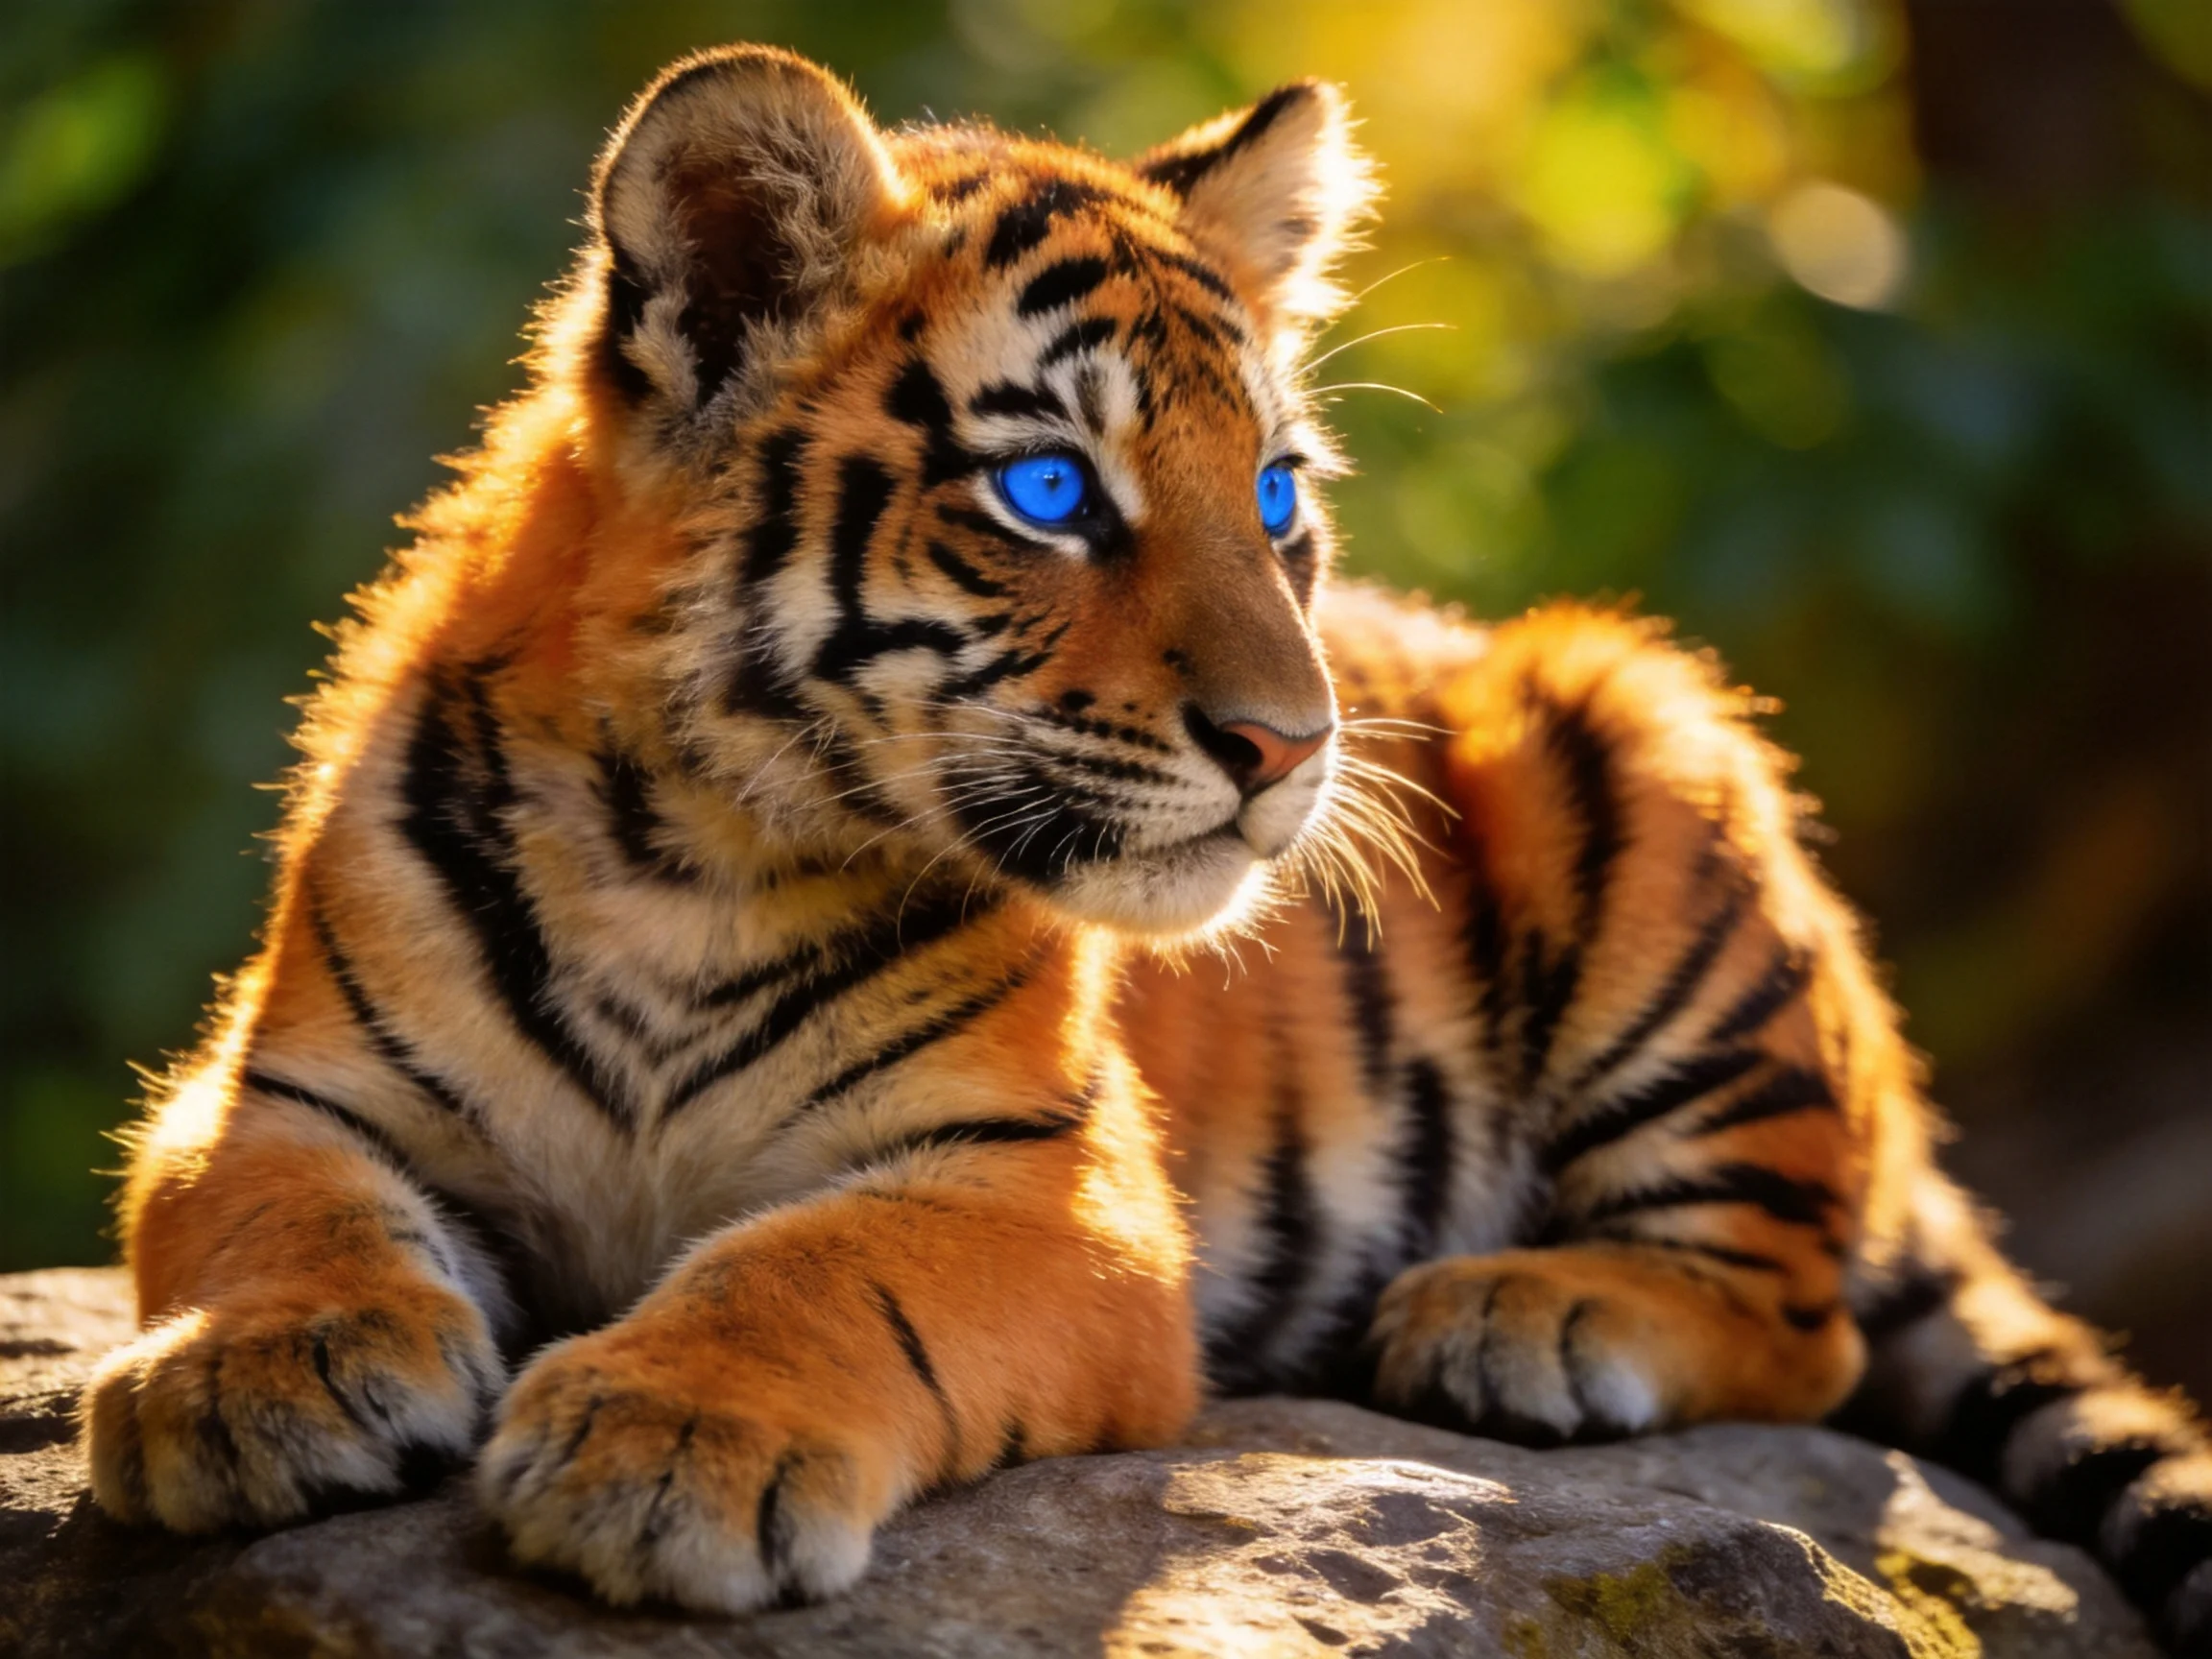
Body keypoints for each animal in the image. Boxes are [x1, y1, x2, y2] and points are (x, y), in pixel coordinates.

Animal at [79, 43, 2210, 1648]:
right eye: (1046, 489)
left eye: (1270, 494)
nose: (1295, 744)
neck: (688, 852)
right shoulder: (272, 1085)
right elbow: (274, 1212)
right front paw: (249, 1382)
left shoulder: (1045, 1186)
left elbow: (811, 1267)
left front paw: (661, 1447)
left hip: (1650, 750)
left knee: (1802, 1314)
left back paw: (1518, 1314)